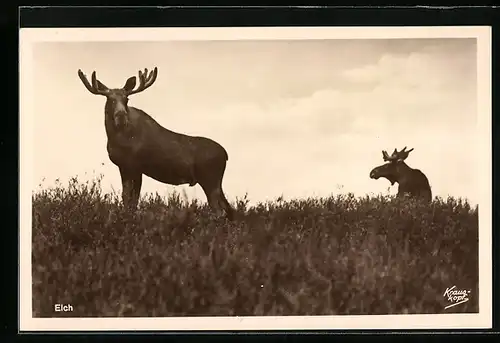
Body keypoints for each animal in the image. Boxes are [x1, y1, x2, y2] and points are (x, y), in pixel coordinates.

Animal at [77, 66, 235, 220]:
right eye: (110, 99)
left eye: (127, 99)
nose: (121, 116)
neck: (116, 138)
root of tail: (226, 155)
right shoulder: (125, 167)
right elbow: (128, 199)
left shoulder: (134, 166)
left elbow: (131, 200)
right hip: (216, 182)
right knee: (229, 209)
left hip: (210, 179)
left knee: (219, 211)